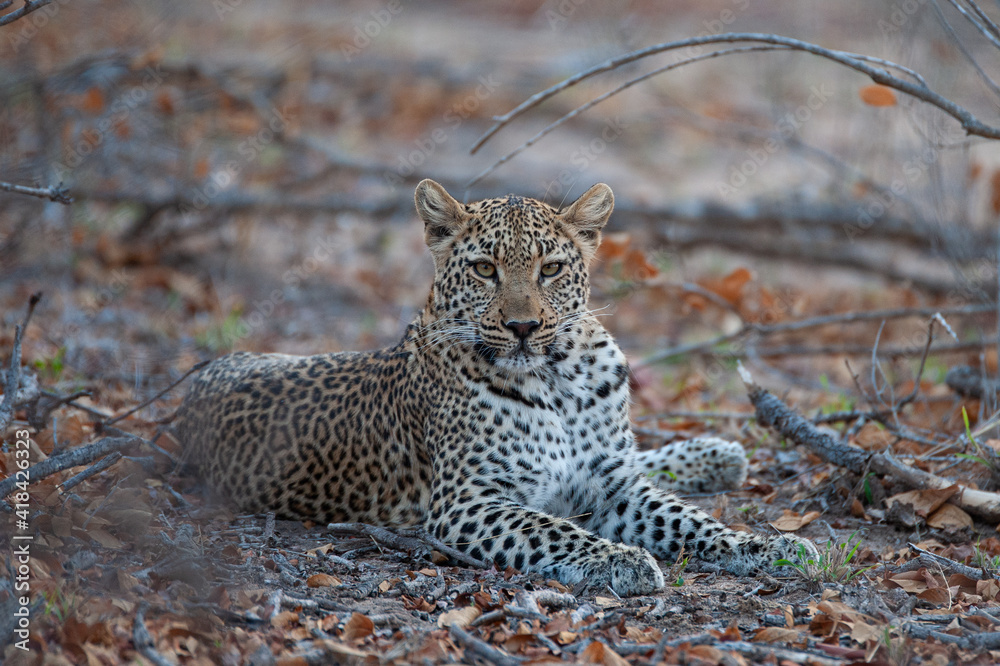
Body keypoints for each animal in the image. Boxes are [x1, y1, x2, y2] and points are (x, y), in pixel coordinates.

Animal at [173, 179, 817, 596]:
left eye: (551, 269)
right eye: (485, 269)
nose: (523, 327)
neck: (560, 380)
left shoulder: (613, 486)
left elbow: (690, 520)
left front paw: (767, 546)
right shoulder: (468, 501)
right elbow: (553, 530)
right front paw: (620, 560)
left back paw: (717, 454)